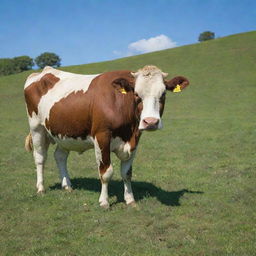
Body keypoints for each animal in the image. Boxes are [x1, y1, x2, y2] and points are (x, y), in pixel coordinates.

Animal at [24, 64, 189, 208]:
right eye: (136, 94)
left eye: (163, 94)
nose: (151, 122)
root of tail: (43, 72)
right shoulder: (101, 136)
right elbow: (106, 172)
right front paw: (104, 202)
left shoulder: (135, 140)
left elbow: (127, 173)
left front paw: (130, 199)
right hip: (37, 127)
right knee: (40, 158)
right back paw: (41, 188)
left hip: (64, 133)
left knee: (60, 156)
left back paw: (67, 186)